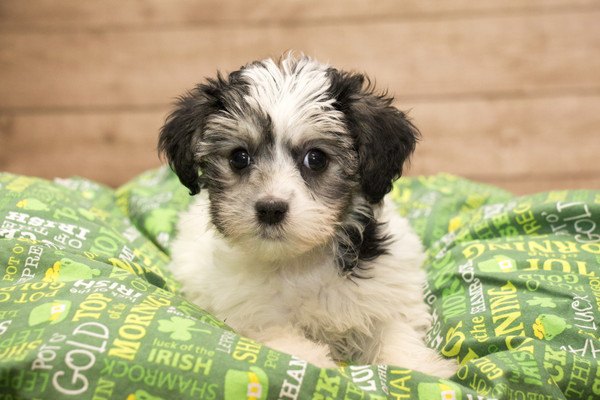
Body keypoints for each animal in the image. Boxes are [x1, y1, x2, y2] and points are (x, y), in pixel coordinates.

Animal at [158, 53, 454, 376]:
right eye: (239, 157)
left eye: (316, 158)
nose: (270, 208)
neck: (302, 263)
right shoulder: (255, 315)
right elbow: (283, 340)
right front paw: (314, 366)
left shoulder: (385, 293)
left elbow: (394, 330)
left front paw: (416, 369)